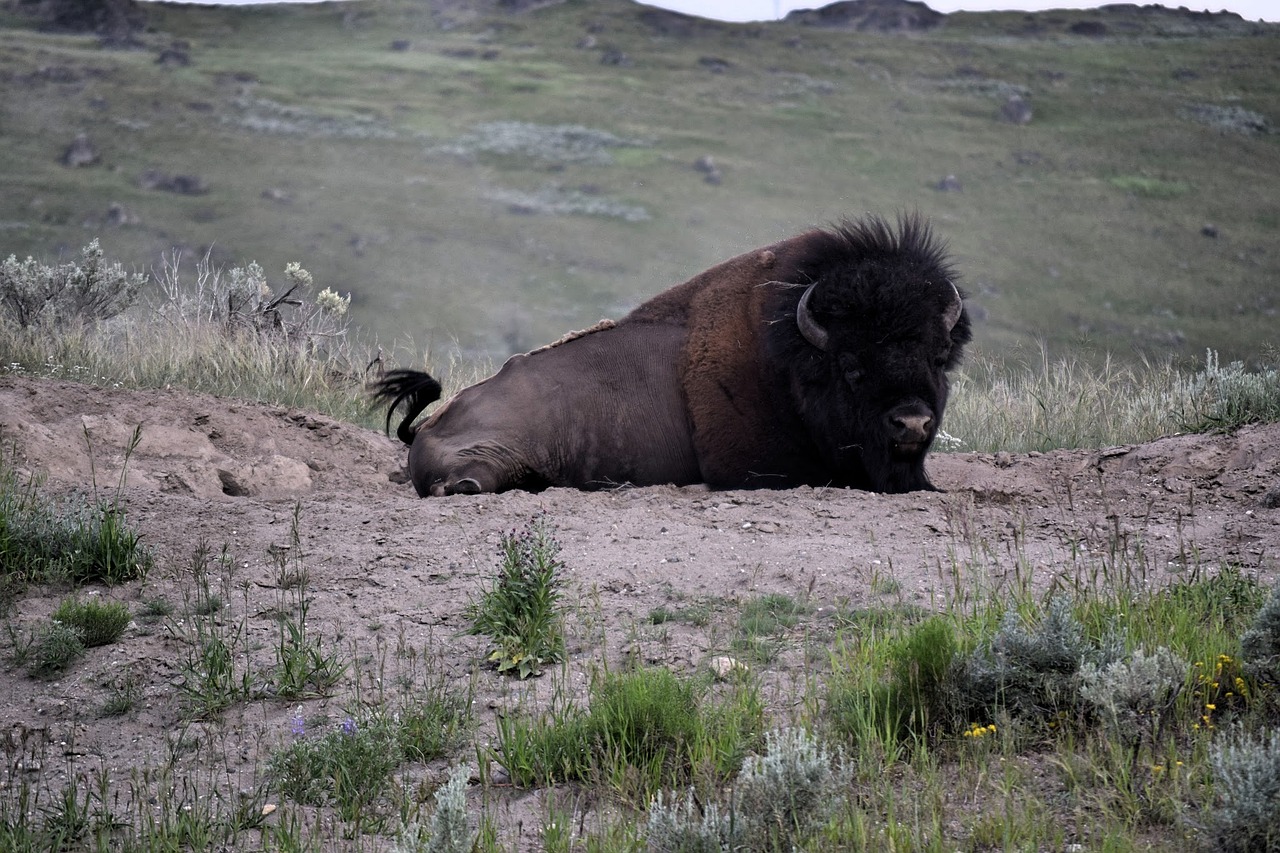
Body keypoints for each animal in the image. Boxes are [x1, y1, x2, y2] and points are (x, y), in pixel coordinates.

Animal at [371, 212, 967, 494]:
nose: (912, 424)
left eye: (938, 357)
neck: (789, 361)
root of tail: (431, 423)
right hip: (495, 452)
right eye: (851, 365)